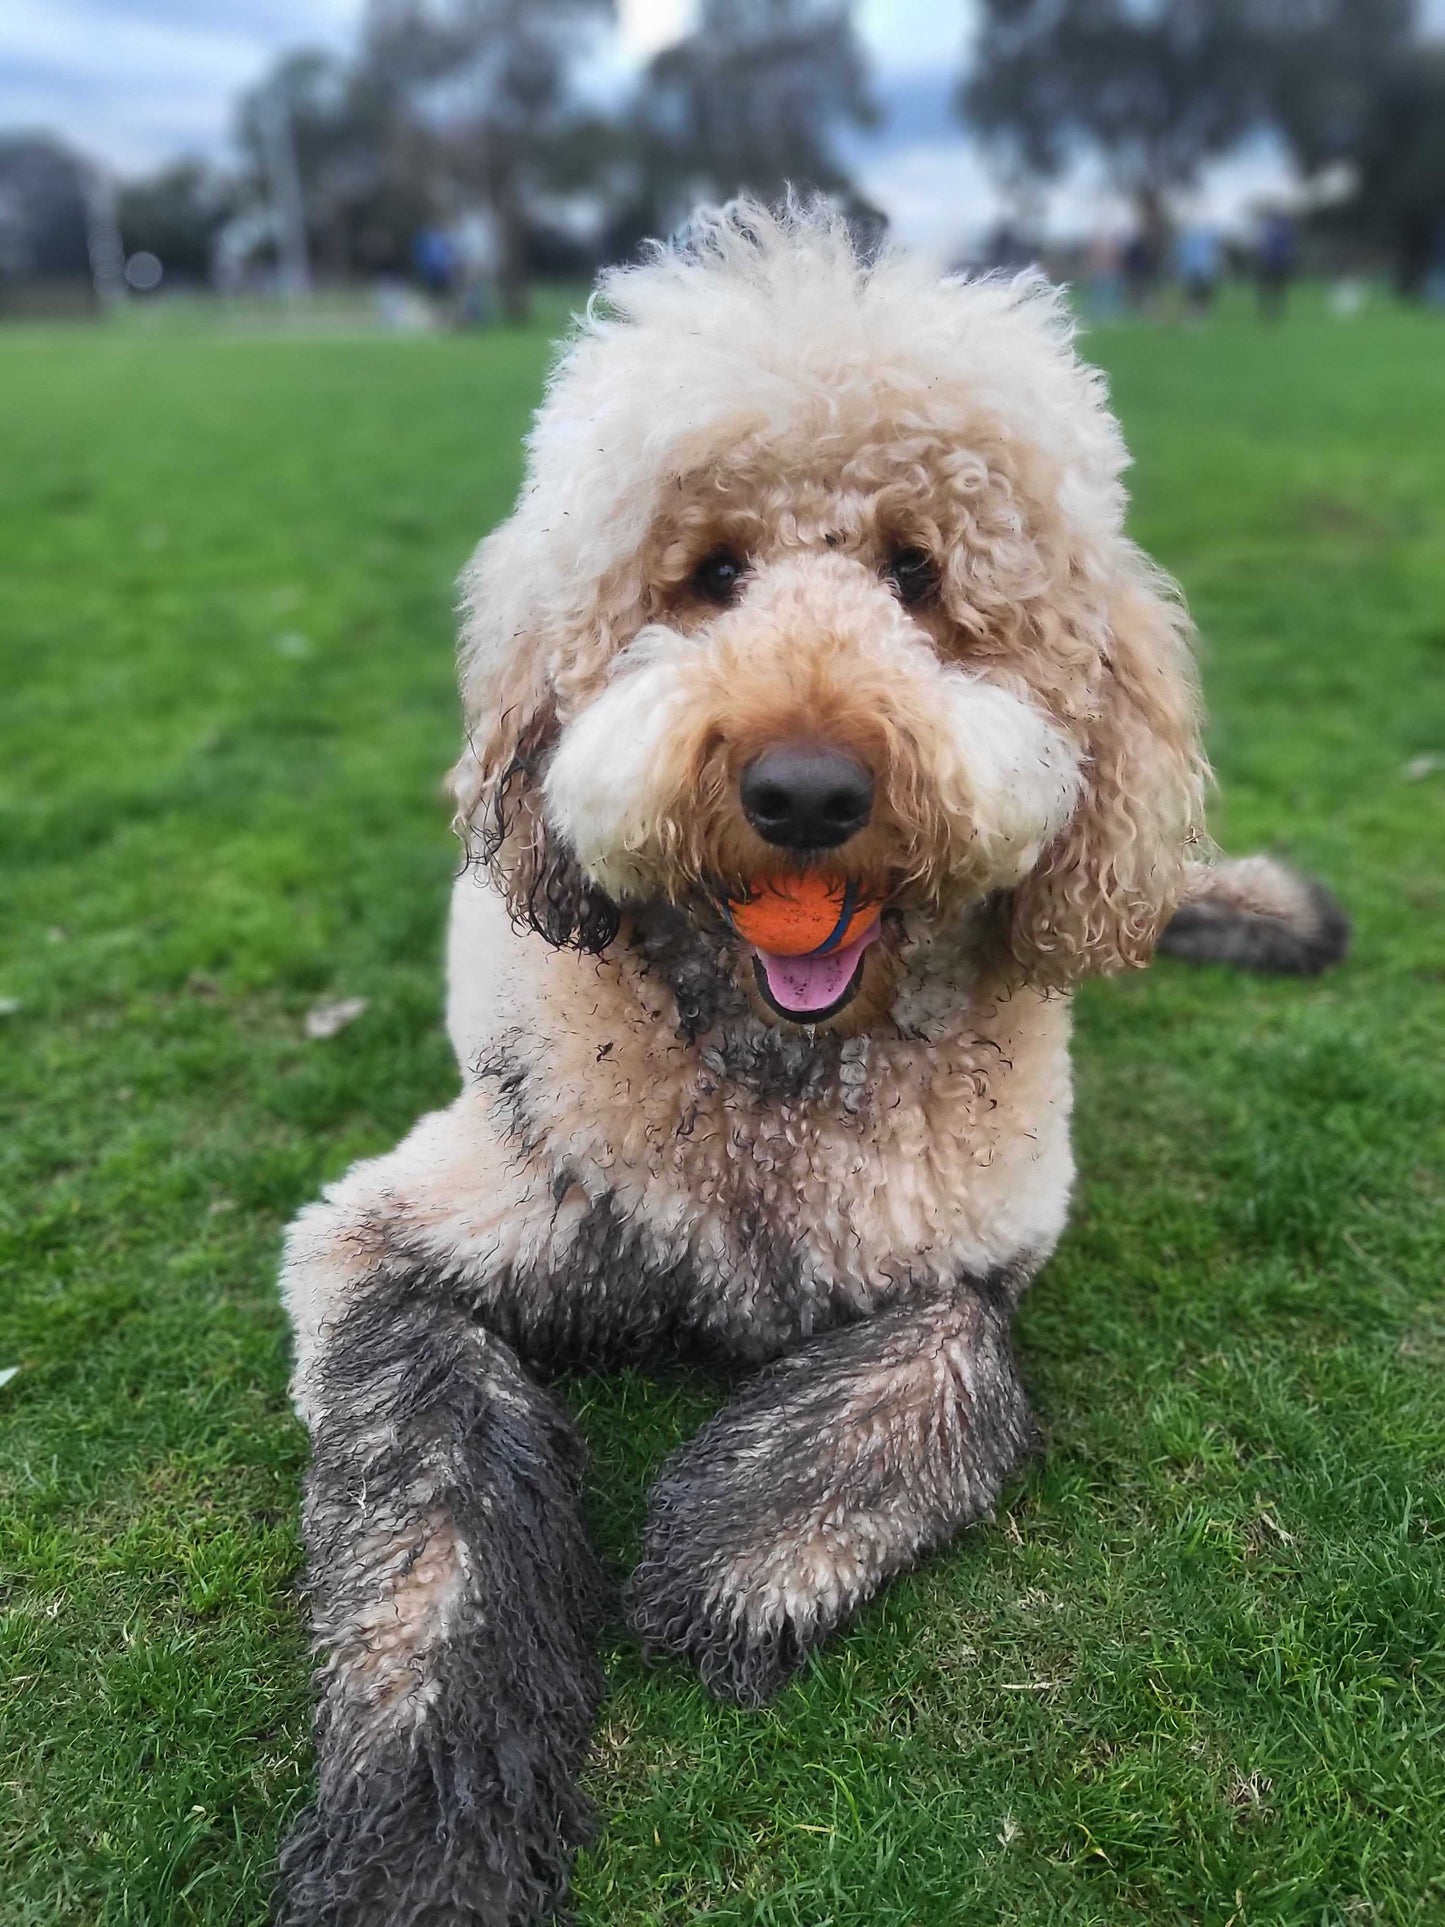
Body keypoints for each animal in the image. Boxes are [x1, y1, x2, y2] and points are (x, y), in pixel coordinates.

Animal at [277, 203, 1356, 1919]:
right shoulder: (387, 1241)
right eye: (708, 575)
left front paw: (735, 1552)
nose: (801, 791)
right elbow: (426, 1516)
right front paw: (419, 1828)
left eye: (919, 574)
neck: (778, 1075)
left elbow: (952, 1358)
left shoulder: (969, 1240)